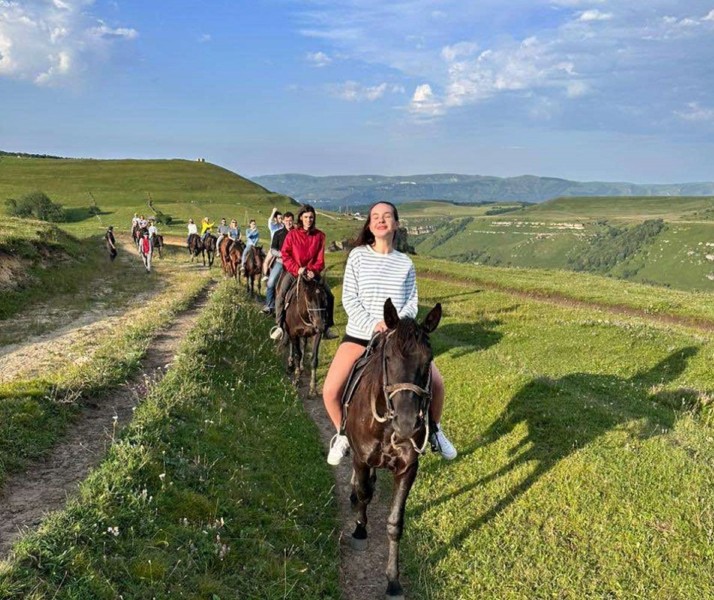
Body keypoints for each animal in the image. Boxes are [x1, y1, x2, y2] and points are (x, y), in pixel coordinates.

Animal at [344, 298, 440, 596]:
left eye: (428, 360)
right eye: (388, 359)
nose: (407, 423)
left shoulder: (408, 468)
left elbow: (395, 523)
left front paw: (393, 580)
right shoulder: (362, 459)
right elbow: (364, 494)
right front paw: (360, 531)